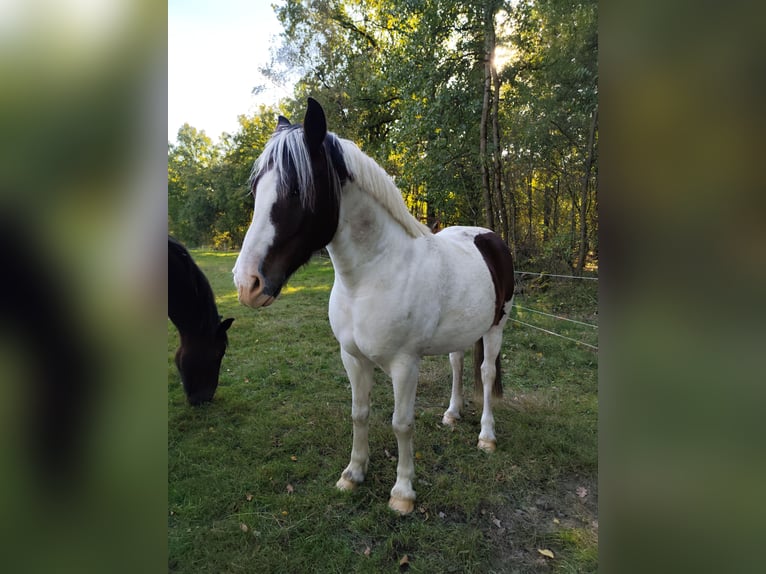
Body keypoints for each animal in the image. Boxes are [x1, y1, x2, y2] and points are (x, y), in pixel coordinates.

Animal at [231, 97, 512, 516]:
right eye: (255, 188)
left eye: (296, 189)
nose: (247, 283)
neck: (369, 278)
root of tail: (490, 238)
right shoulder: (352, 358)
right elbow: (359, 414)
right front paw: (353, 474)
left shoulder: (404, 365)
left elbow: (401, 423)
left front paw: (403, 492)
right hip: (461, 333)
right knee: (458, 365)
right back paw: (451, 415)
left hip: (496, 328)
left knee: (488, 373)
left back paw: (486, 437)